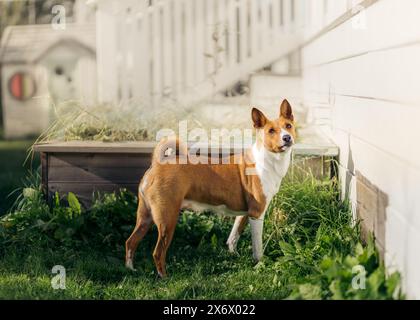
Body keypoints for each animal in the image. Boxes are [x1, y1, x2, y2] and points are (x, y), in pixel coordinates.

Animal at [124, 99, 296, 276]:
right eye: (271, 131)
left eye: (288, 125)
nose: (287, 137)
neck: (267, 159)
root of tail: (158, 163)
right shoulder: (257, 214)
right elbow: (258, 248)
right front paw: (259, 264)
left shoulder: (244, 213)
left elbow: (233, 237)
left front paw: (234, 256)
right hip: (167, 219)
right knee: (158, 252)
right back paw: (164, 277)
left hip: (145, 217)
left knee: (130, 242)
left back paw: (130, 270)